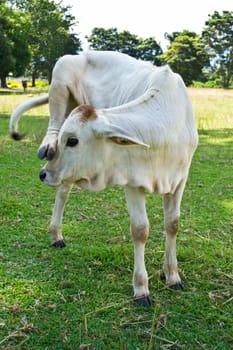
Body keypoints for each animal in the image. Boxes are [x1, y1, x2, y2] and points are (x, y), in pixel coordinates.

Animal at [38, 66, 198, 306]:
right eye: (65, 140)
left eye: (73, 140)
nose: (43, 173)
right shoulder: (132, 180)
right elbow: (140, 230)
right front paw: (141, 288)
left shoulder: (180, 180)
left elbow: (173, 224)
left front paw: (172, 275)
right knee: (63, 192)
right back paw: (56, 235)